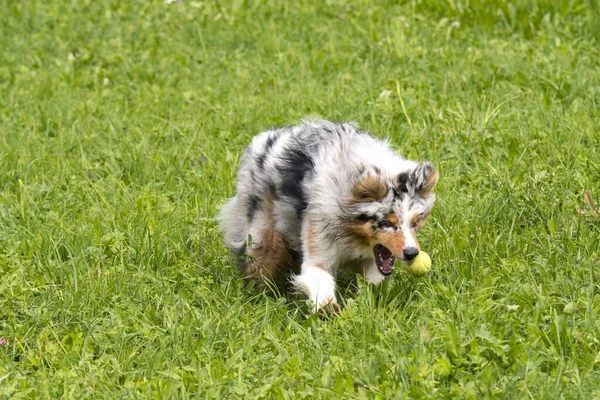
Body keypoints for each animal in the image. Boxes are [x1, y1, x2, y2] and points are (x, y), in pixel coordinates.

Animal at [218, 119, 438, 312]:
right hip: (262, 236)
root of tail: (261, 139)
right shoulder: (319, 248)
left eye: (415, 222)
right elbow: (320, 282)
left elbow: (370, 284)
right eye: (386, 222)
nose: (412, 253)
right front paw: (329, 311)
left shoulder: (372, 263)